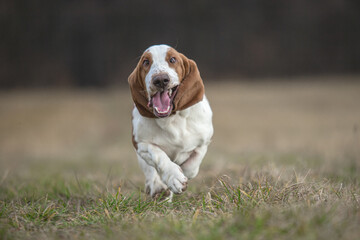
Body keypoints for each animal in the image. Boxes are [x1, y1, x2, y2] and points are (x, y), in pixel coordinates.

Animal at [129, 44, 212, 200]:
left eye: (173, 59)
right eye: (146, 62)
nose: (160, 80)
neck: (172, 119)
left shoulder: (203, 143)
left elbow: (192, 167)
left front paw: (180, 174)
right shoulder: (141, 144)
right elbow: (158, 156)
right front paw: (173, 177)